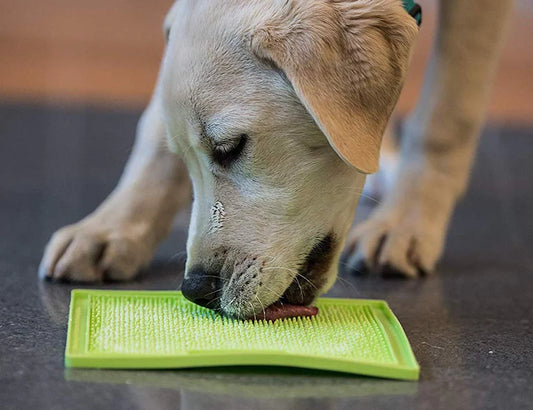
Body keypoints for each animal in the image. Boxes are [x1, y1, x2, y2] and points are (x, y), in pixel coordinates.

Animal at [38, 0, 512, 318]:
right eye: (188, 161)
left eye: (230, 147)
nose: (195, 290)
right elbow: (154, 129)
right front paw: (110, 227)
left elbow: (446, 115)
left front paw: (406, 224)